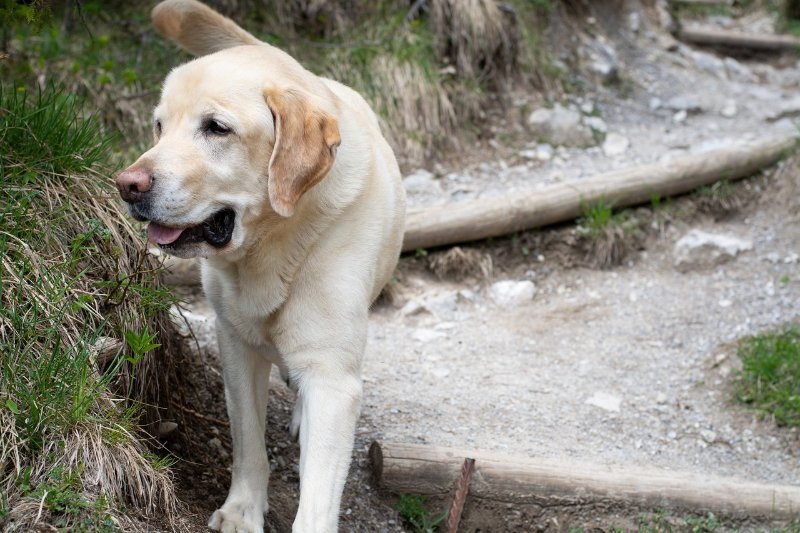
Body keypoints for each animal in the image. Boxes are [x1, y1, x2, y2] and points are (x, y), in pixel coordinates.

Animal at [114, 2, 406, 528]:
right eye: (159, 126)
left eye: (216, 127)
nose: (128, 185)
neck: (271, 248)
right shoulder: (235, 347)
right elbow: (248, 443)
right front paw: (242, 510)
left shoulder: (333, 378)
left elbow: (317, 500)